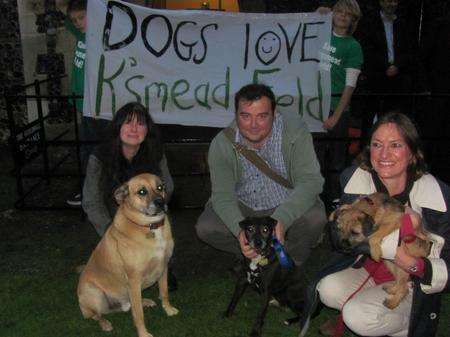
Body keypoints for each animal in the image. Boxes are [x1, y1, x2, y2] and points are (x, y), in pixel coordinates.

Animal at [77, 173, 178, 336]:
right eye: (142, 192)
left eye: (160, 187)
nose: (161, 202)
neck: (149, 227)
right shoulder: (134, 279)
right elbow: (138, 315)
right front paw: (143, 333)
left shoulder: (164, 267)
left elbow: (164, 293)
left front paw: (168, 310)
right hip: (95, 293)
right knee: (96, 315)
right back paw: (105, 324)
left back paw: (145, 301)